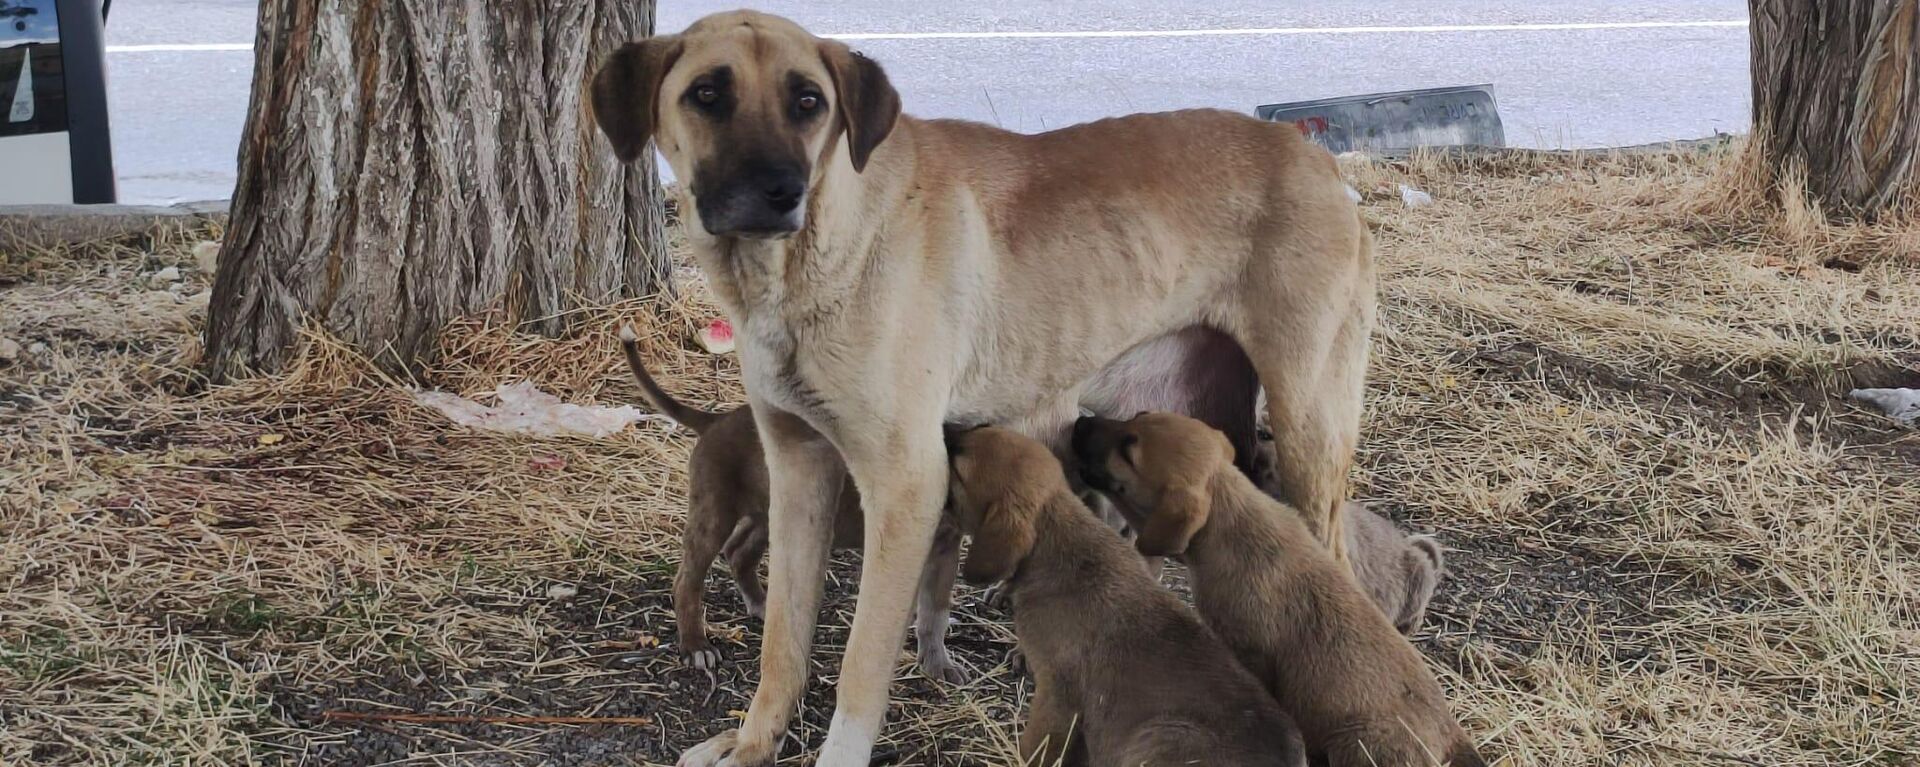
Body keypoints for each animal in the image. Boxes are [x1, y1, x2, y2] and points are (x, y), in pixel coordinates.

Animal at [618, 328, 967, 684]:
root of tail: (718, 420)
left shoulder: (946, 548)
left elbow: (935, 613)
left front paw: (938, 663)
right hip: (714, 511)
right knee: (688, 580)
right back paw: (696, 646)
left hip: (768, 511)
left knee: (738, 552)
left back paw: (761, 604)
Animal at [940, 426, 1305, 767]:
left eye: (958, 464)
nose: (943, 427)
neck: (1059, 542)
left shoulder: (1056, 691)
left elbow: (1037, 746)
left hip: (1158, 736)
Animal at [1082, 415, 1482, 767]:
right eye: (1136, 416)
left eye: (1128, 451)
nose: (1081, 423)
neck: (1234, 516)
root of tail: (1453, 735)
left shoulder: (1249, 651)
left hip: (1359, 741)